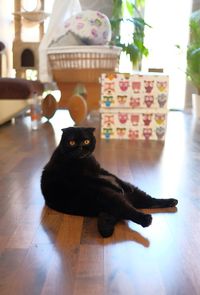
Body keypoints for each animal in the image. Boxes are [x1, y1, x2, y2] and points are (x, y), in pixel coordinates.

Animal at [41, 127, 178, 238]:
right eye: (72, 142)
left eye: (86, 141)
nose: (80, 148)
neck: (85, 161)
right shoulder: (82, 177)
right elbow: (100, 179)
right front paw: (116, 186)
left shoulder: (100, 170)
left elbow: (114, 176)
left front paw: (123, 185)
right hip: (108, 196)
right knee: (129, 210)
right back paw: (146, 219)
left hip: (134, 193)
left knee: (150, 201)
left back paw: (172, 201)